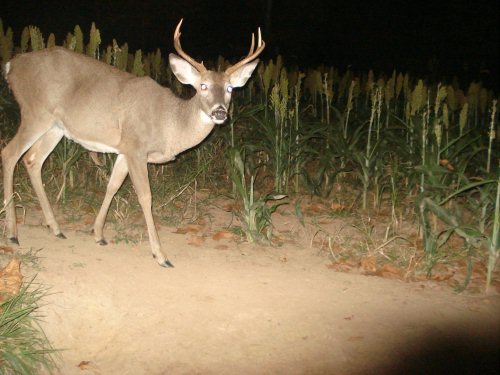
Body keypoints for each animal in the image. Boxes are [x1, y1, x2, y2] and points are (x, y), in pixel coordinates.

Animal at [0, 19, 266, 268]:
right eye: (203, 86)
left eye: (230, 88)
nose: (220, 112)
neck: (170, 123)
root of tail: (12, 66)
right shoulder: (137, 147)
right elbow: (146, 196)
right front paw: (160, 255)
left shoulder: (124, 149)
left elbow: (113, 185)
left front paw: (98, 234)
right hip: (35, 112)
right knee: (9, 153)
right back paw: (13, 233)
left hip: (56, 127)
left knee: (32, 160)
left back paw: (55, 228)